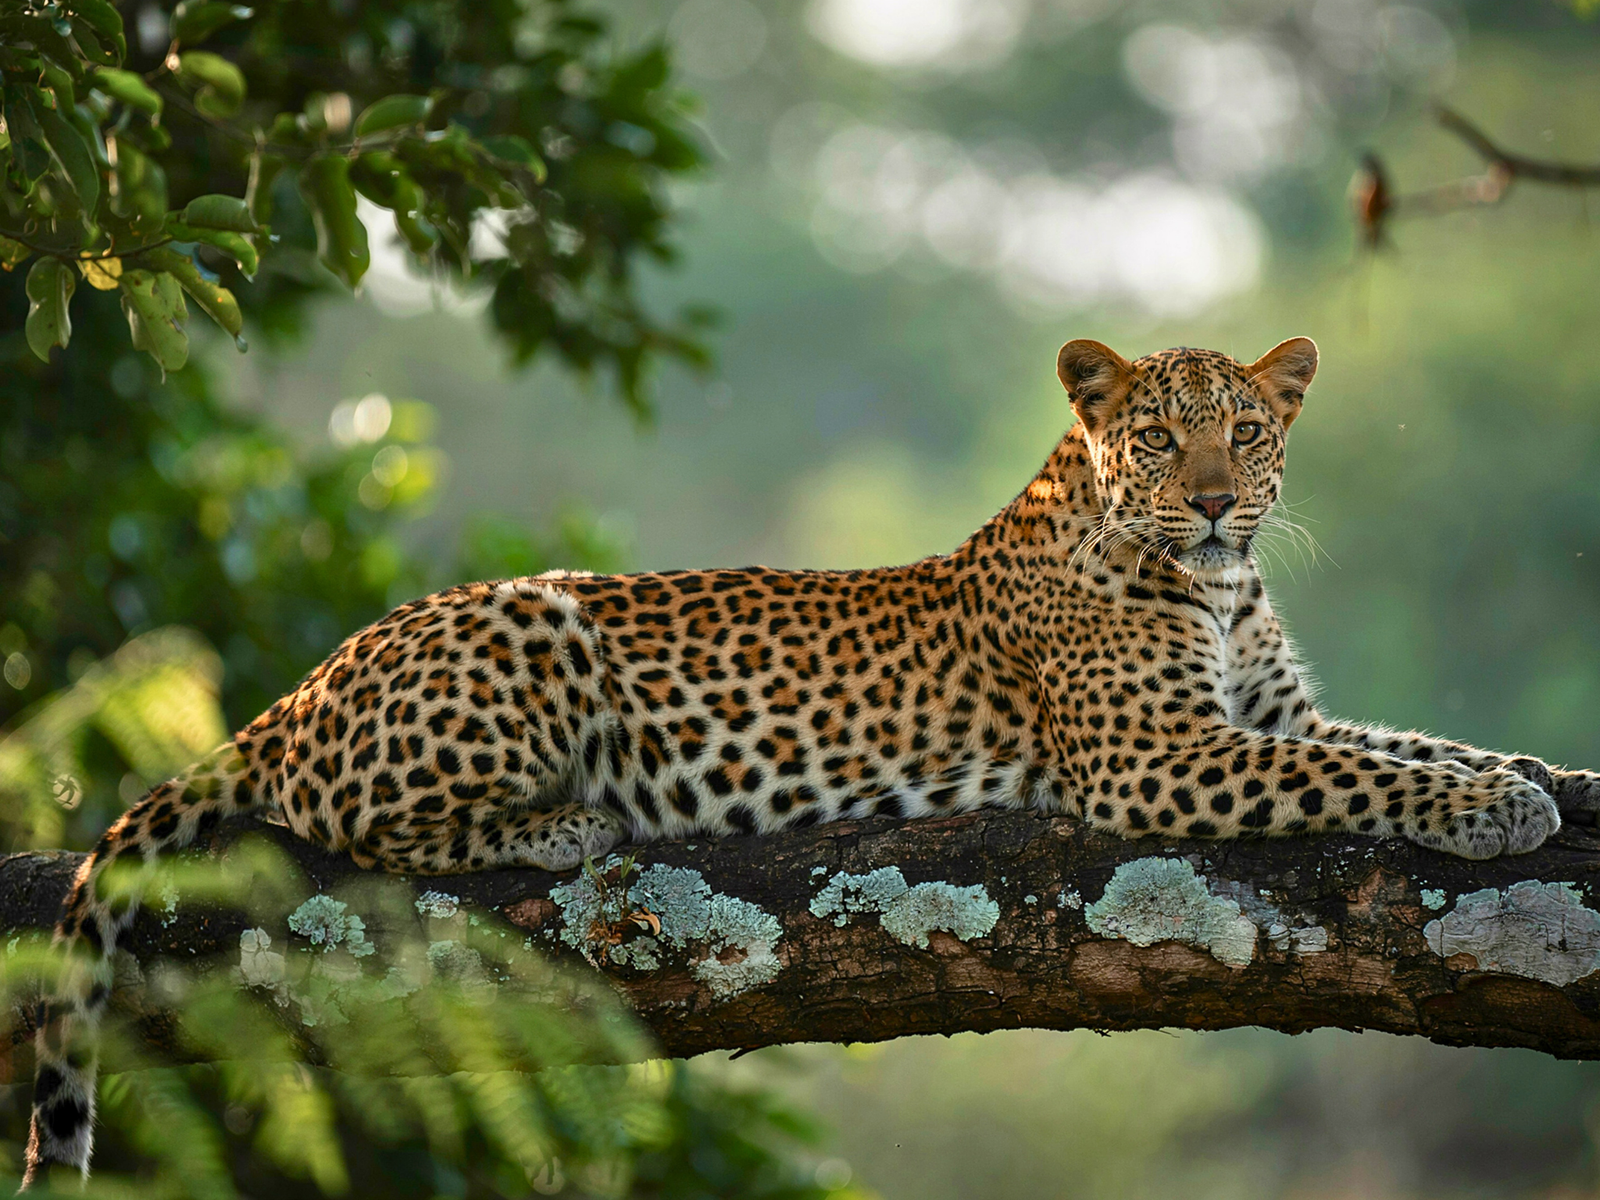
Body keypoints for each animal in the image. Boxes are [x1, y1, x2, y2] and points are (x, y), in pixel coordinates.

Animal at [24, 335, 1600, 1186]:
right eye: (1158, 439)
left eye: (1252, 432)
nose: (1216, 505)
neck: (1216, 590)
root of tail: (298, 689)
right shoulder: (1152, 760)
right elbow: (1370, 776)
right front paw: (1489, 813)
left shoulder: (1268, 719)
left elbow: (1402, 739)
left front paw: (1536, 777)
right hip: (528, 628)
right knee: (357, 824)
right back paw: (564, 827)